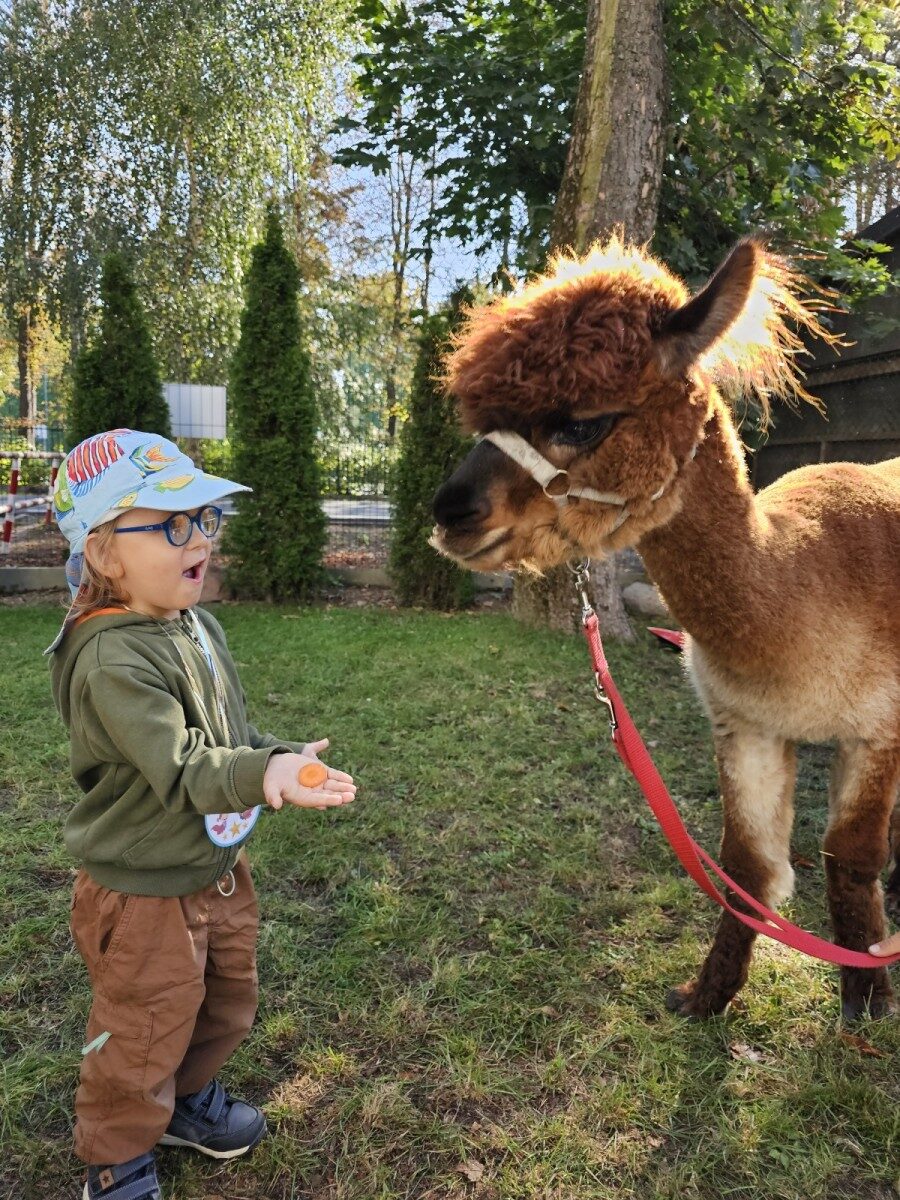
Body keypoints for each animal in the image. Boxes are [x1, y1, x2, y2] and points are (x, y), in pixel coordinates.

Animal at [430, 237, 900, 1021]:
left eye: (580, 421)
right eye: (479, 423)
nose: (450, 511)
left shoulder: (878, 724)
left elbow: (849, 858)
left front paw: (866, 998)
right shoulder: (746, 724)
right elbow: (746, 868)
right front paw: (706, 996)